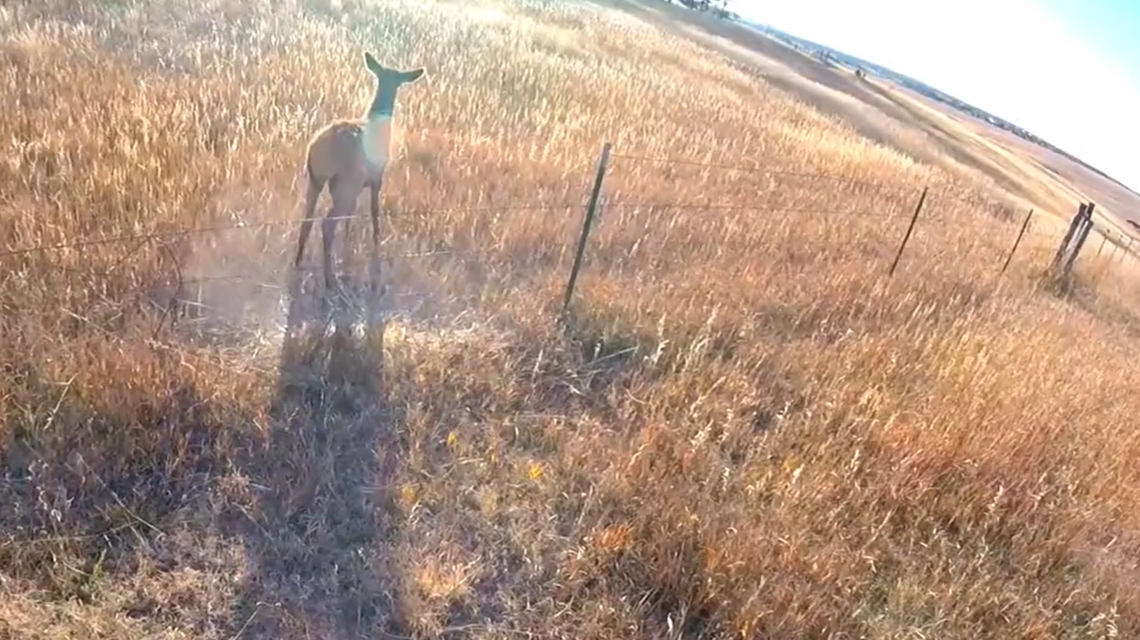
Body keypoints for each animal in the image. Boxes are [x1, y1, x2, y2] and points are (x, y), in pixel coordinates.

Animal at [293, 51, 425, 291]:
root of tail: (324, 146)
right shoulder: (377, 176)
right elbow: (374, 210)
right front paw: (376, 242)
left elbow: (350, 217)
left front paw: (349, 242)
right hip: (346, 182)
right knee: (327, 224)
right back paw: (329, 279)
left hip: (315, 178)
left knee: (308, 219)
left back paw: (299, 261)